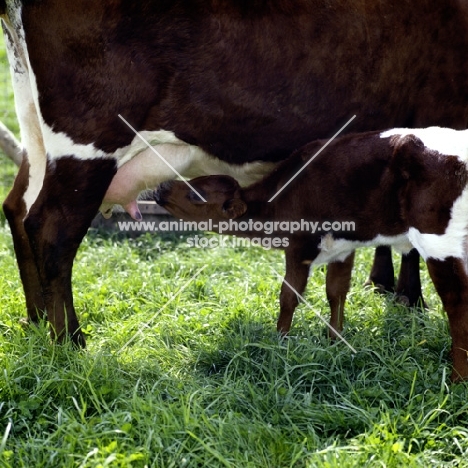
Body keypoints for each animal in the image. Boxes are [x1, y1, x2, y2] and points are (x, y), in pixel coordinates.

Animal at [0, 0, 468, 348]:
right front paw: (408, 295)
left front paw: (387, 286)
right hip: (92, 134)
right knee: (51, 228)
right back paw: (70, 341)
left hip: (37, 131)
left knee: (18, 209)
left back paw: (36, 323)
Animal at [155, 127, 468, 380]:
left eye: (196, 194)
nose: (161, 186)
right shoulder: (343, 247)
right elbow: (336, 291)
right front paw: (335, 341)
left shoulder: (298, 246)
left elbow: (289, 295)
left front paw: (280, 340)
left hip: (440, 241)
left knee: (457, 303)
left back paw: (457, 379)